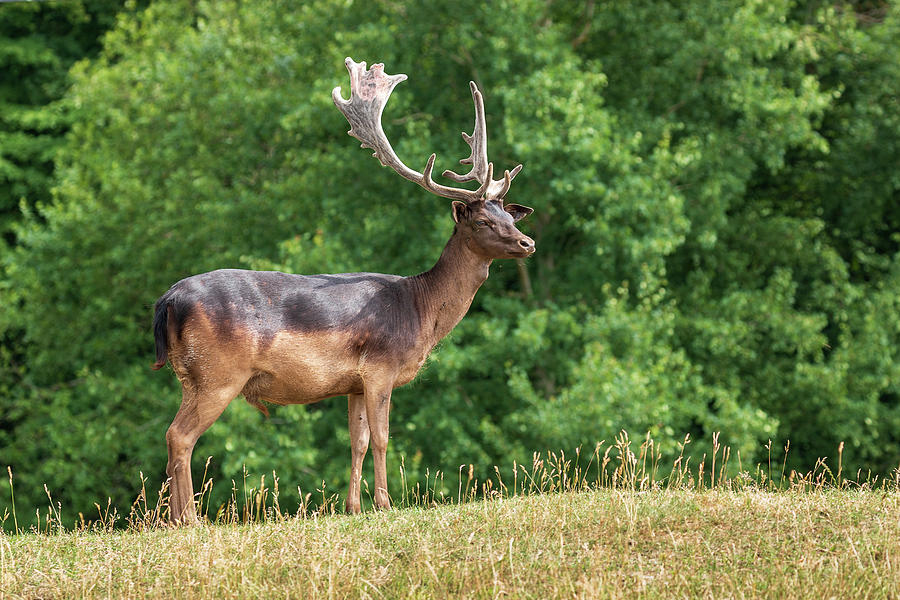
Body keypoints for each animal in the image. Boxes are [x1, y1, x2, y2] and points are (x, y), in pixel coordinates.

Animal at [151, 58, 536, 524]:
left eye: (509, 216)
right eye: (482, 221)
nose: (527, 243)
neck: (421, 311)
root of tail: (168, 301)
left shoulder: (353, 383)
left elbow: (358, 441)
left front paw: (353, 506)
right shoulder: (381, 366)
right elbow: (384, 437)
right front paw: (386, 503)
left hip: (190, 374)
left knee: (173, 435)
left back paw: (175, 519)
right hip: (217, 373)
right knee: (179, 435)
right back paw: (189, 518)